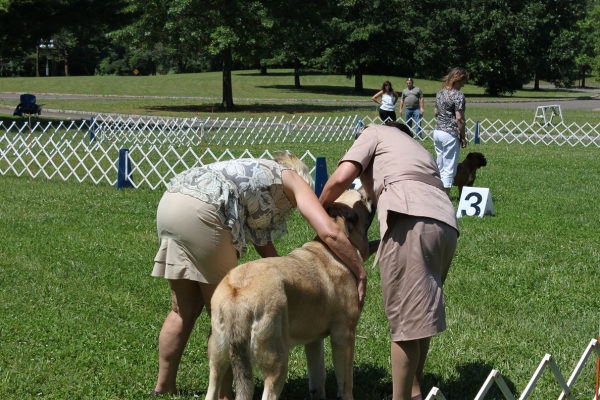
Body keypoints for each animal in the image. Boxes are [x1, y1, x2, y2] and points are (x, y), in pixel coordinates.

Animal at [206, 188, 376, 400]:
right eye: (362, 198)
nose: (370, 191)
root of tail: (238, 300)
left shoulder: (314, 341)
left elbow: (318, 377)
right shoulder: (344, 336)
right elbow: (345, 383)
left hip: (217, 359)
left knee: (213, 385)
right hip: (277, 362)